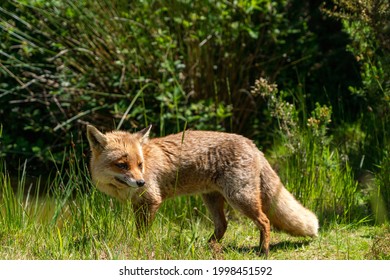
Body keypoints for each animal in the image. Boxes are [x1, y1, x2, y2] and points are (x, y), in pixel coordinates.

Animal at [87, 124, 318, 256]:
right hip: (212, 199)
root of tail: (252, 144)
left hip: (240, 198)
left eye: (140, 164)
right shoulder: (138, 205)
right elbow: (138, 229)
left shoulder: (152, 200)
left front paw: (139, 247)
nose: (141, 182)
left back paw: (263, 251)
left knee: (265, 221)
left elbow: (142, 233)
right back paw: (208, 247)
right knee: (223, 225)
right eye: (122, 165)